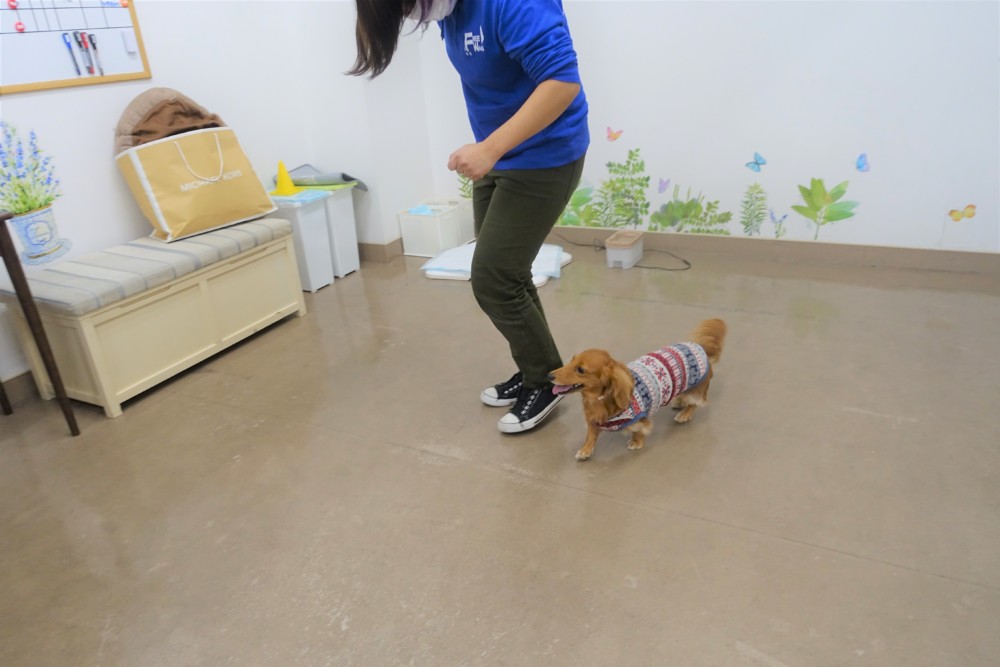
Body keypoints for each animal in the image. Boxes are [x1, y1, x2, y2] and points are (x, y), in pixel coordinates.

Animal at [548, 318, 727, 461]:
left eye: (580, 370)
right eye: (572, 360)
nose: (549, 375)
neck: (600, 399)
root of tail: (702, 347)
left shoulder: (639, 418)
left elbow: (638, 430)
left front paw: (636, 442)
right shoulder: (594, 420)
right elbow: (590, 436)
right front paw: (585, 450)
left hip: (696, 388)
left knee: (696, 403)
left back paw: (684, 414)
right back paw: (678, 401)